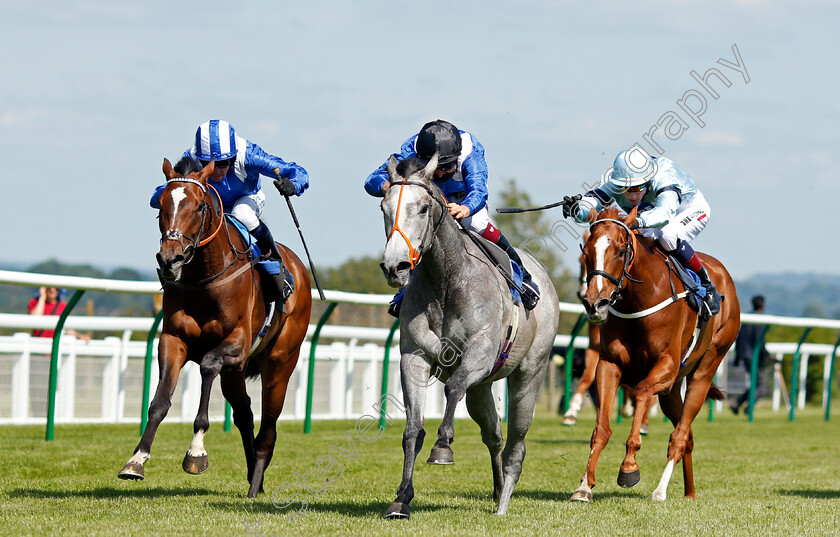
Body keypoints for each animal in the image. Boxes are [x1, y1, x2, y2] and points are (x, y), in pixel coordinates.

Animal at [118, 157, 312, 496]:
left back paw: (256, 481)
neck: (204, 279)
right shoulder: (173, 340)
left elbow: (208, 365)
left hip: (280, 361)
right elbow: (159, 401)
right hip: (236, 371)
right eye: (161, 205)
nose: (170, 259)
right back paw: (254, 476)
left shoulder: (236, 343)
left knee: (269, 424)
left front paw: (196, 452)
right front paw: (136, 460)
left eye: (198, 207)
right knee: (246, 413)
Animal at [378, 154, 560, 516]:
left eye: (423, 208)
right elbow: (412, 430)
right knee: (494, 435)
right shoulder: (414, 357)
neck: (446, 280)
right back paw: (498, 488)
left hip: (529, 374)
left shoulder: (480, 351)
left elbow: (452, 387)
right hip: (482, 388)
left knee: (516, 444)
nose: (395, 266)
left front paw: (442, 446)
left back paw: (504, 503)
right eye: (383, 207)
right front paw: (401, 498)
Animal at [572, 206, 740, 502]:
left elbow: (640, 392)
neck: (639, 298)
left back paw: (660, 490)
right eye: (587, 253)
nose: (595, 303)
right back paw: (689, 492)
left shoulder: (666, 366)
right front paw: (584, 485)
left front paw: (629, 467)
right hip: (671, 390)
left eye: (620, 251)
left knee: (680, 435)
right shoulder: (609, 364)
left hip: (704, 369)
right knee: (688, 435)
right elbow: (601, 428)